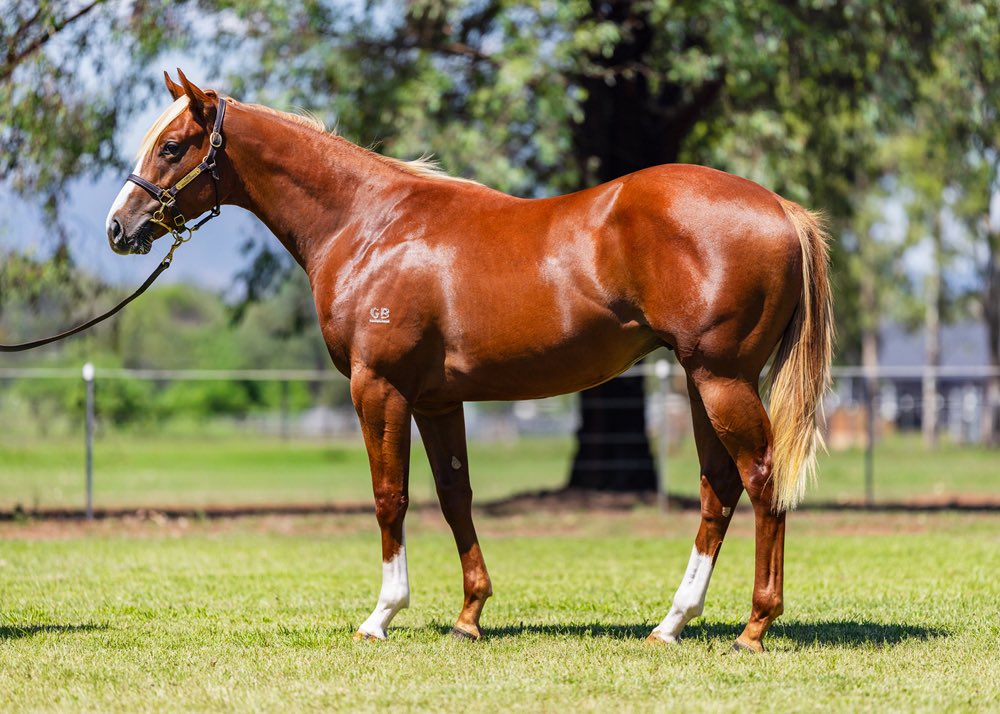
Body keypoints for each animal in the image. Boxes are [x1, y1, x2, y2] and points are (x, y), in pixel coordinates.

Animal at [105, 70, 832, 653]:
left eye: (172, 146)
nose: (119, 227)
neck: (370, 226)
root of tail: (780, 207)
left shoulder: (379, 388)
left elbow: (390, 497)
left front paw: (381, 616)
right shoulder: (436, 399)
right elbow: (456, 496)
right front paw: (469, 616)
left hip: (721, 378)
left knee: (761, 481)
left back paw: (754, 627)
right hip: (700, 381)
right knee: (719, 488)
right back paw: (672, 623)